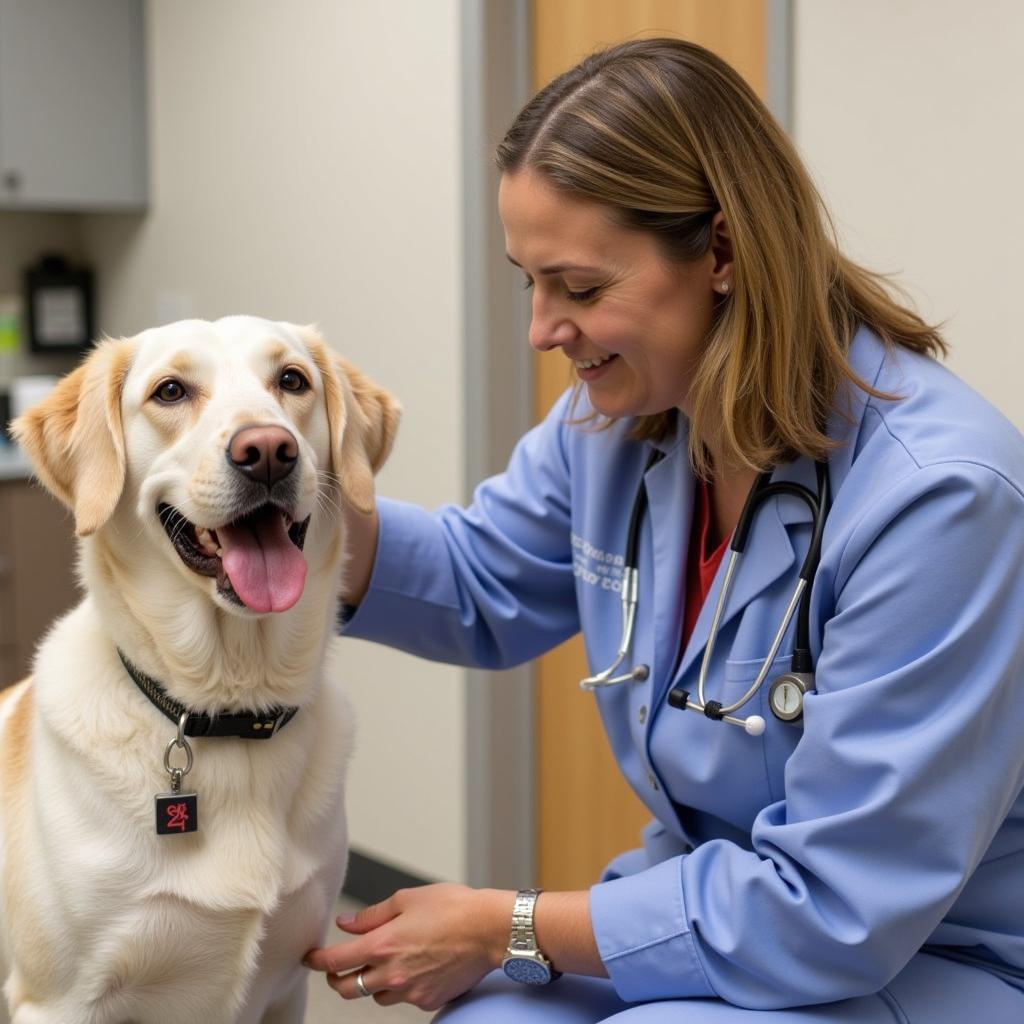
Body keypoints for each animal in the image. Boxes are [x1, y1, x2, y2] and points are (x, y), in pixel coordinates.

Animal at [1, 315, 395, 1019]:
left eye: (292, 380)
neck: (230, 711)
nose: (267, 450)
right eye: (170, 391)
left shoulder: (288, 984)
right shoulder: (57, 1001)